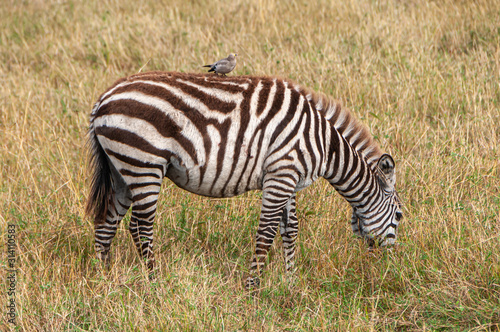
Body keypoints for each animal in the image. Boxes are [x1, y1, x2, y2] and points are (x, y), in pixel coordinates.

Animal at [86, 70, 404, 288]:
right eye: (400, 216)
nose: (390, 267)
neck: (325, 145)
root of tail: (103, 99)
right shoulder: (281, 175)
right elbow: (266, 233)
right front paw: (253, 288)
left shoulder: (288, 178)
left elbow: (290, 229)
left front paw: (291, 281)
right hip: (144, 163)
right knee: (141, 227)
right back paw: (155, 281)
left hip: (122, 169)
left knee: (107, 222)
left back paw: (103, 277)